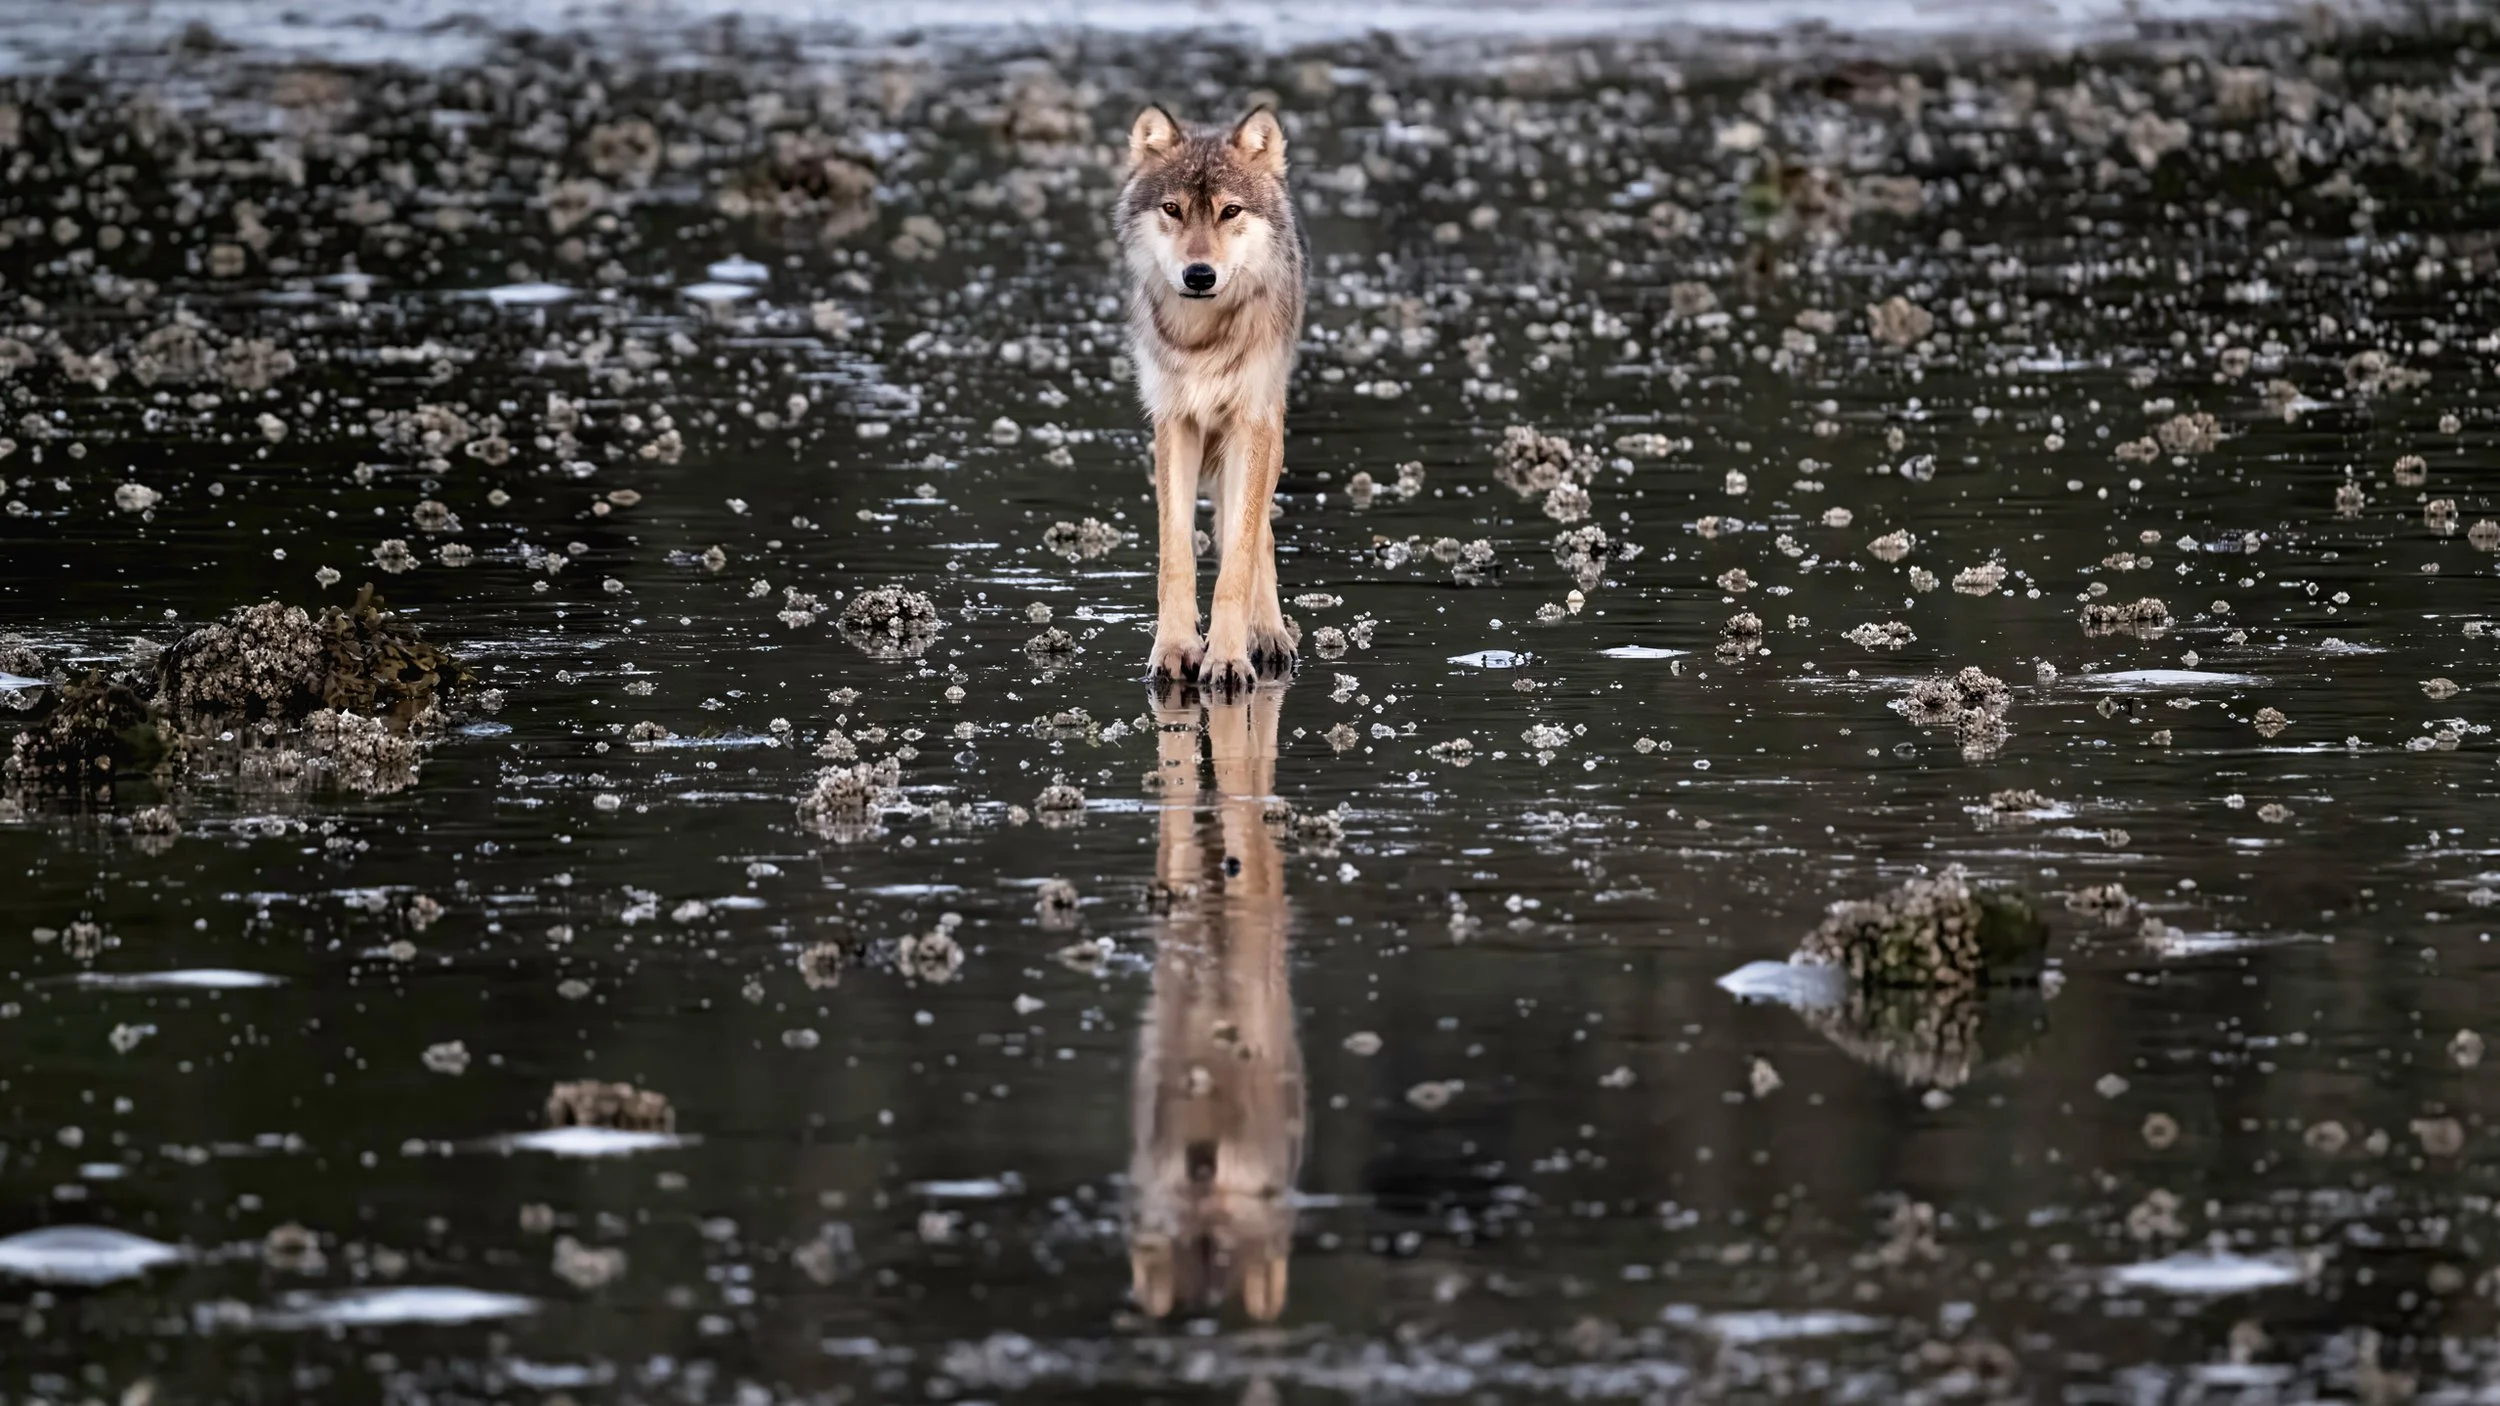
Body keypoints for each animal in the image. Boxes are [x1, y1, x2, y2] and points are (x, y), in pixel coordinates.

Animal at [1117, 105, 1307, 691]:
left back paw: (1268, 636)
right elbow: (1175, 555)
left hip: (1269, 434)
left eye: (1230, 211)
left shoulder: (1251, 423)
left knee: (1258, 534)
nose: (1199, 275)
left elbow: (1239, 559)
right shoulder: (1173, 423)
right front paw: (1175, 649)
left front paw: (1227, 659)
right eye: (1172, 209)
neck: (1202, 340)